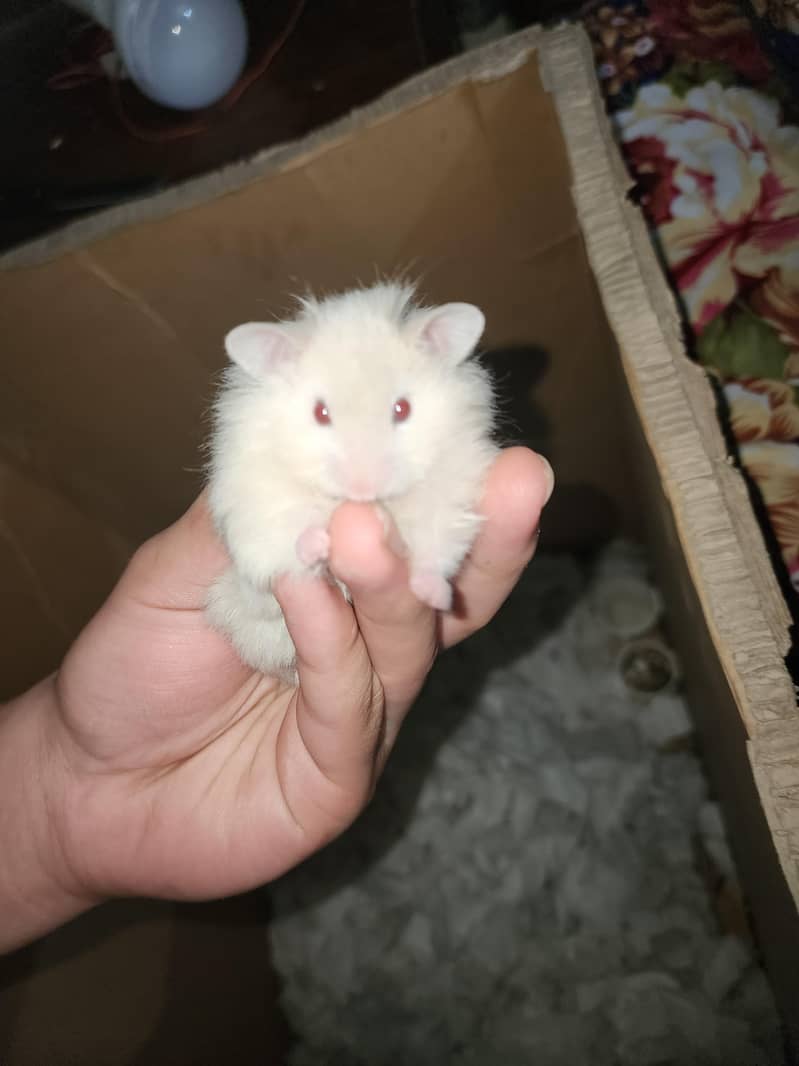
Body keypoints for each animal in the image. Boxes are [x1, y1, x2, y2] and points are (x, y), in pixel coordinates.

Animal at [205, 281, 498, 683]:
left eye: (402, 408)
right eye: (320, 412)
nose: (364, 490)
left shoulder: (449, 490)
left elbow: (435, 545)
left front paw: (438, 597)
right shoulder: (256, 500)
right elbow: (285, 537)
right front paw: (318, 543)